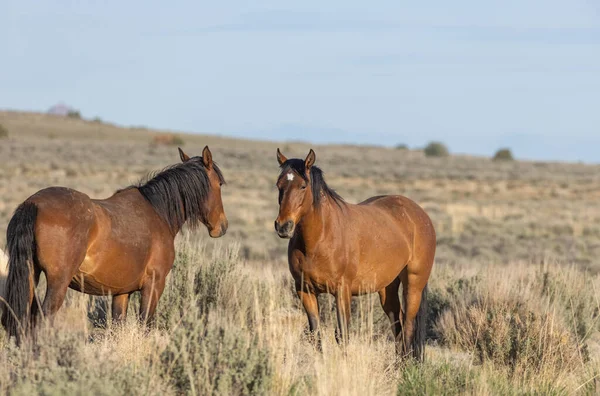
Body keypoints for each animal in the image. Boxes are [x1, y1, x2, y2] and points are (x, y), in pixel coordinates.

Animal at [1, 145, 227, 344]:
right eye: (219, 184)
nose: (222, 226)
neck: (158, 213)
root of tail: (33, 204)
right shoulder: (154, 285)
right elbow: (145, 324)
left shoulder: (121, 293)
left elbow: (118, 326)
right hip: (58, 282)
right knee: (42, 319)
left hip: (31, 275)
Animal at [274, 148, 436, 358]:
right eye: (279, 185)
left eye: (303, 186)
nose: (283, 226)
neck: (320, 238)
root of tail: (420, 214)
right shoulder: (305, 290)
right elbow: (315, 332)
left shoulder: (342, 291)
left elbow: (342, 334)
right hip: (387, 288)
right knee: (397, 324)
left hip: (414, 284)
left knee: (408, 326)